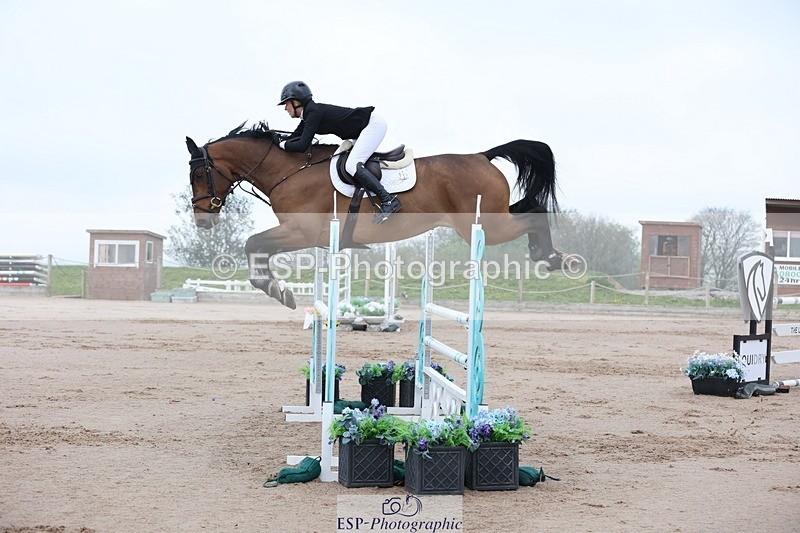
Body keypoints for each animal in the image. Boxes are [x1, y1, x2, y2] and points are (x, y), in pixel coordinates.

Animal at [186, 122, 569, 309]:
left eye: (200, 173)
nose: (203, 220)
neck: (290, 170)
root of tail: (482, 156)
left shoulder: (301, 232)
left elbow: (253, 243)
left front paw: (278, 291)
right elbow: (257, 248)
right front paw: (277, 289)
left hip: (487, 223)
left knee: (535, 212)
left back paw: (551, 257)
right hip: (490, 218)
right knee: (531, 207)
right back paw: (548, 254)